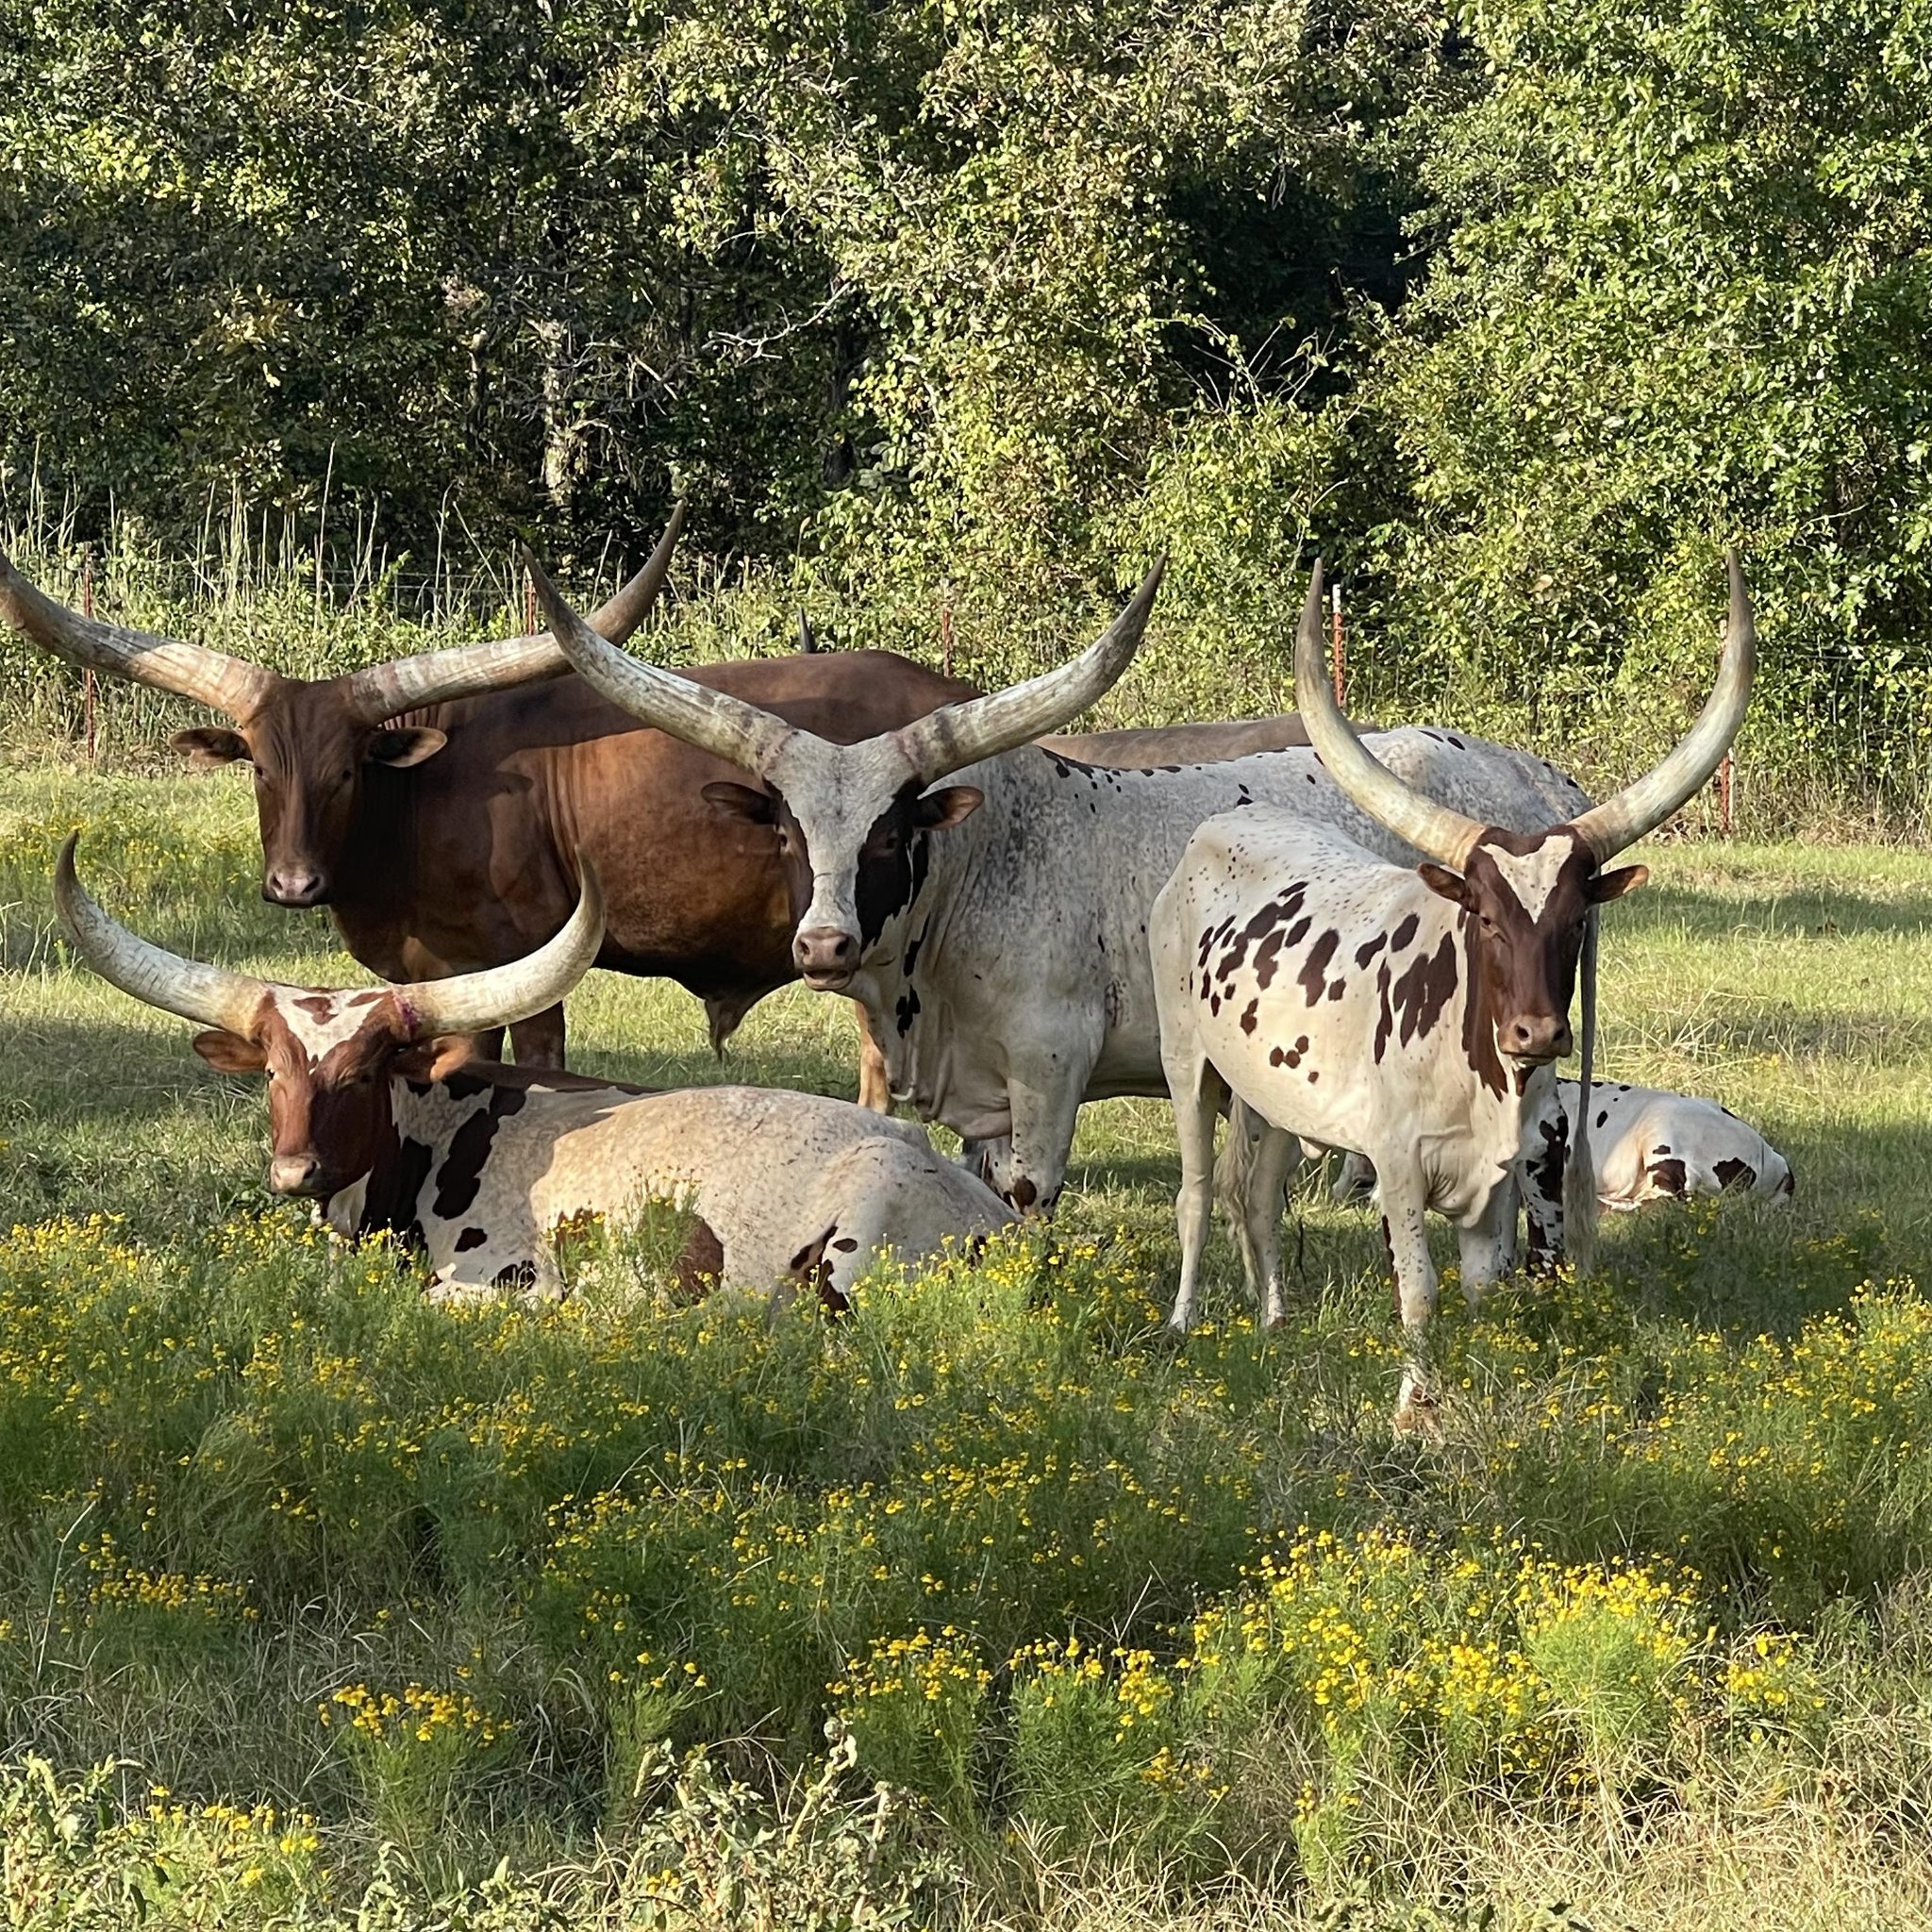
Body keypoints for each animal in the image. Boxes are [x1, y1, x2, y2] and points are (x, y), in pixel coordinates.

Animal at [525, 552, 1603, 1215]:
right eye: (787, 832)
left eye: (889, 835)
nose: (822, 945)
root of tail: (1535, 779)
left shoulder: (1050, 1072)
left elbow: (1028, 1196)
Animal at [1149, 557, 1753, 1427]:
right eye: (1487, 918)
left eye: (1575, 919)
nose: (1537, 1034)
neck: (1480, 1081)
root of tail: (1222, 830)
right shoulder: (1397, 1170)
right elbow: (1419, 1292)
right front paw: (1414, 1411)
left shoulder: (1498, 1180)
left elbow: (1479, 1288)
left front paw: (1471, 1393)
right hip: (1186, 1063)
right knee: (1197, 1193)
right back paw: (1182, 1322)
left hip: (1276, 1100)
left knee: (1257, 1197)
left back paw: (1274, 1321)